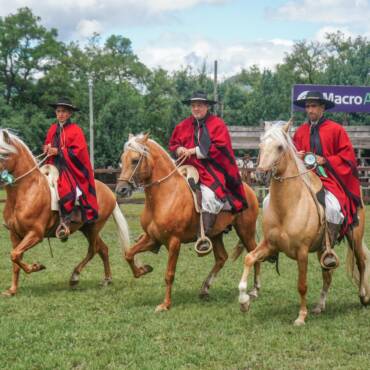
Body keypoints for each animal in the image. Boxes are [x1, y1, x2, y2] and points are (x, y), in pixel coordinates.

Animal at [0, 129, 133, 296]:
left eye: (4, 154)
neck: (26, 191)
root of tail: (108, 191)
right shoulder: (15, 234)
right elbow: (15, 259)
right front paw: (12, 290)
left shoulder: (35, 234)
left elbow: (15, 255)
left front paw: (36, 267)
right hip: (87, 228)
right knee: (103, 249)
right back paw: (107, 279)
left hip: (94, 227)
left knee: (94, 249)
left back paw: (75, 277)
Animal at [116, 134, 260, 312]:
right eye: (122, 159)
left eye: (135, 160)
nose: (121, 190)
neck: (166, 194)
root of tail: (249, 190)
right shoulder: (152, 238)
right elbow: (129, 254)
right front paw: (144, 269)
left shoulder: (174, 242)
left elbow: (169, 274)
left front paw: (165, 304)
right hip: (216, 234)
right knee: (221, 257)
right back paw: (205, 288)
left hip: (246, 232)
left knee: (254, 254)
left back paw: (254, 290)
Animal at [237, 120, 370, 326]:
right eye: (260, 146)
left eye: (280, 147)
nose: (260, 174)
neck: (288, 207)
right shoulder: (269, 245)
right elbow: (249, 258)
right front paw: (244, 301)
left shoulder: (302, 252)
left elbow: (302, 285)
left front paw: (301, 316)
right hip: (324, 249)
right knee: (327, 274)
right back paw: (320, 306)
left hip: (354, 236)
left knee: (361, 262)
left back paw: (363, 296)